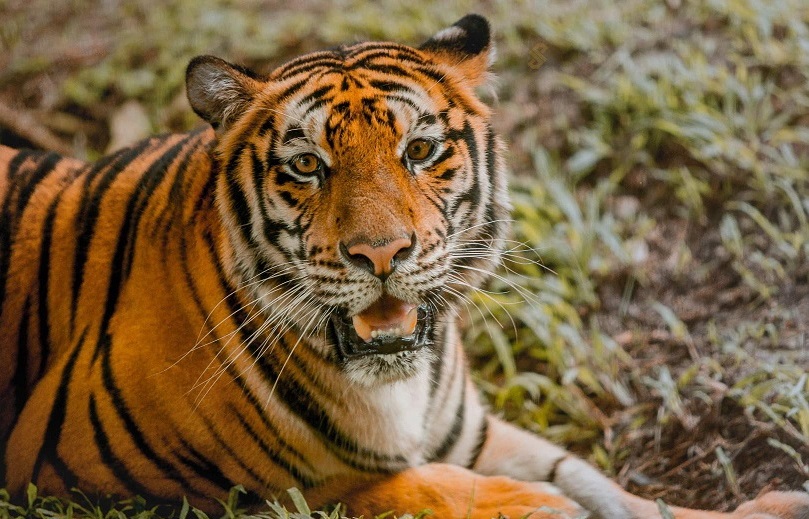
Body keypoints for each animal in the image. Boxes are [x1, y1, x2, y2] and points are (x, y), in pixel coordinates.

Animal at [1, 14, 808, 519]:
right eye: (306, 165)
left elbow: (593, 478)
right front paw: (533, 505)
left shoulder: (469, 433)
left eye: (419, 150)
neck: (391, 385)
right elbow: (387, 486)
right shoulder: (89, 473)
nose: (381, 252)